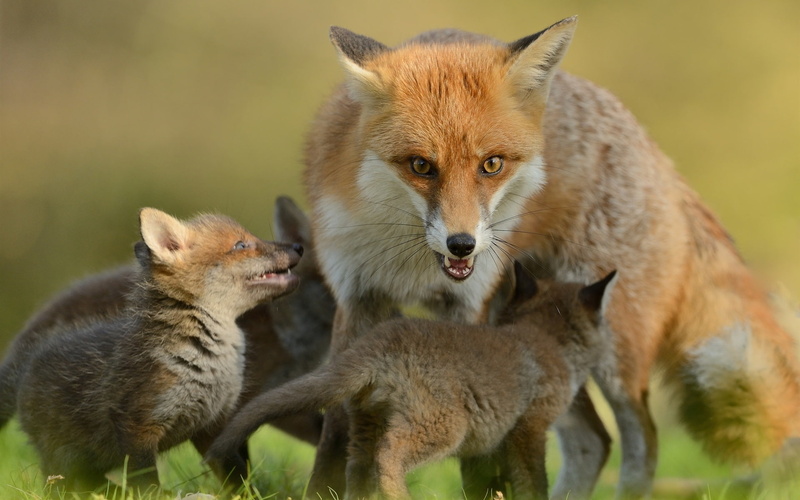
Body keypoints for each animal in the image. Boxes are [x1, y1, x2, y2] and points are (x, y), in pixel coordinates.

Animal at [0, 197, 334, 487]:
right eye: (241, 245)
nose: (297, 247)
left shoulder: (221, 418)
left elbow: (236, 474)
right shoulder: (145, 425)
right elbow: (151, 484)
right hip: (67, 460)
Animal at [207, 263, 617, 500]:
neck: (542, 339)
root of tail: (380, 341)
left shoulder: (498, 441)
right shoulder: (529, 428)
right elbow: (533, 482)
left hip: (365, 426)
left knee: (359, 469)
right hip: (444, 427)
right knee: (389, 455)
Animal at [302, 16, 800, 499]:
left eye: (492, 164)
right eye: (421, 165)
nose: (462, 244)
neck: (408, 261)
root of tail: (655, 153)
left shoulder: (469, 307)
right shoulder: (356, 298)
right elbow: (336, 424)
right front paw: (322, 490)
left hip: (610, 345)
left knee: (642, 441)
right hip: (544, 334)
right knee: (594, 441)